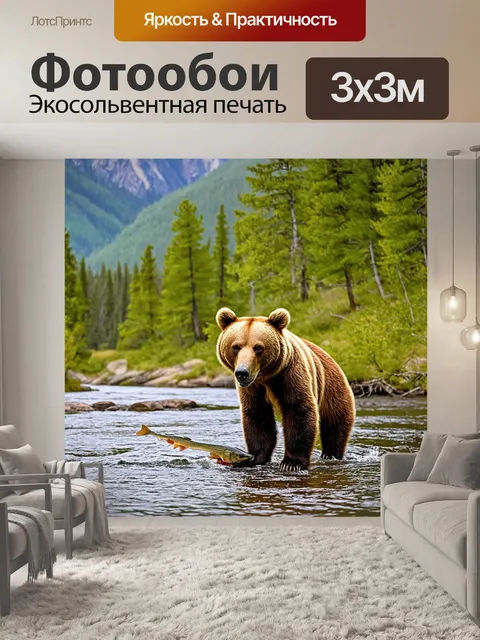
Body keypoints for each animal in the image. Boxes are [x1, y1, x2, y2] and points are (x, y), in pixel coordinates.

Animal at [215, 307, 355, 472]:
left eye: (258, 347)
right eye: (236, 347)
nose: (242, 373)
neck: (265, 377)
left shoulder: (290, 375)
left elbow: (298, 409)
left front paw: (291, 463)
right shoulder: (253, 389)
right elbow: (258, 416)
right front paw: (253, 458)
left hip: (332, 387)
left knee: (334, 424)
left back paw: (330, 454)